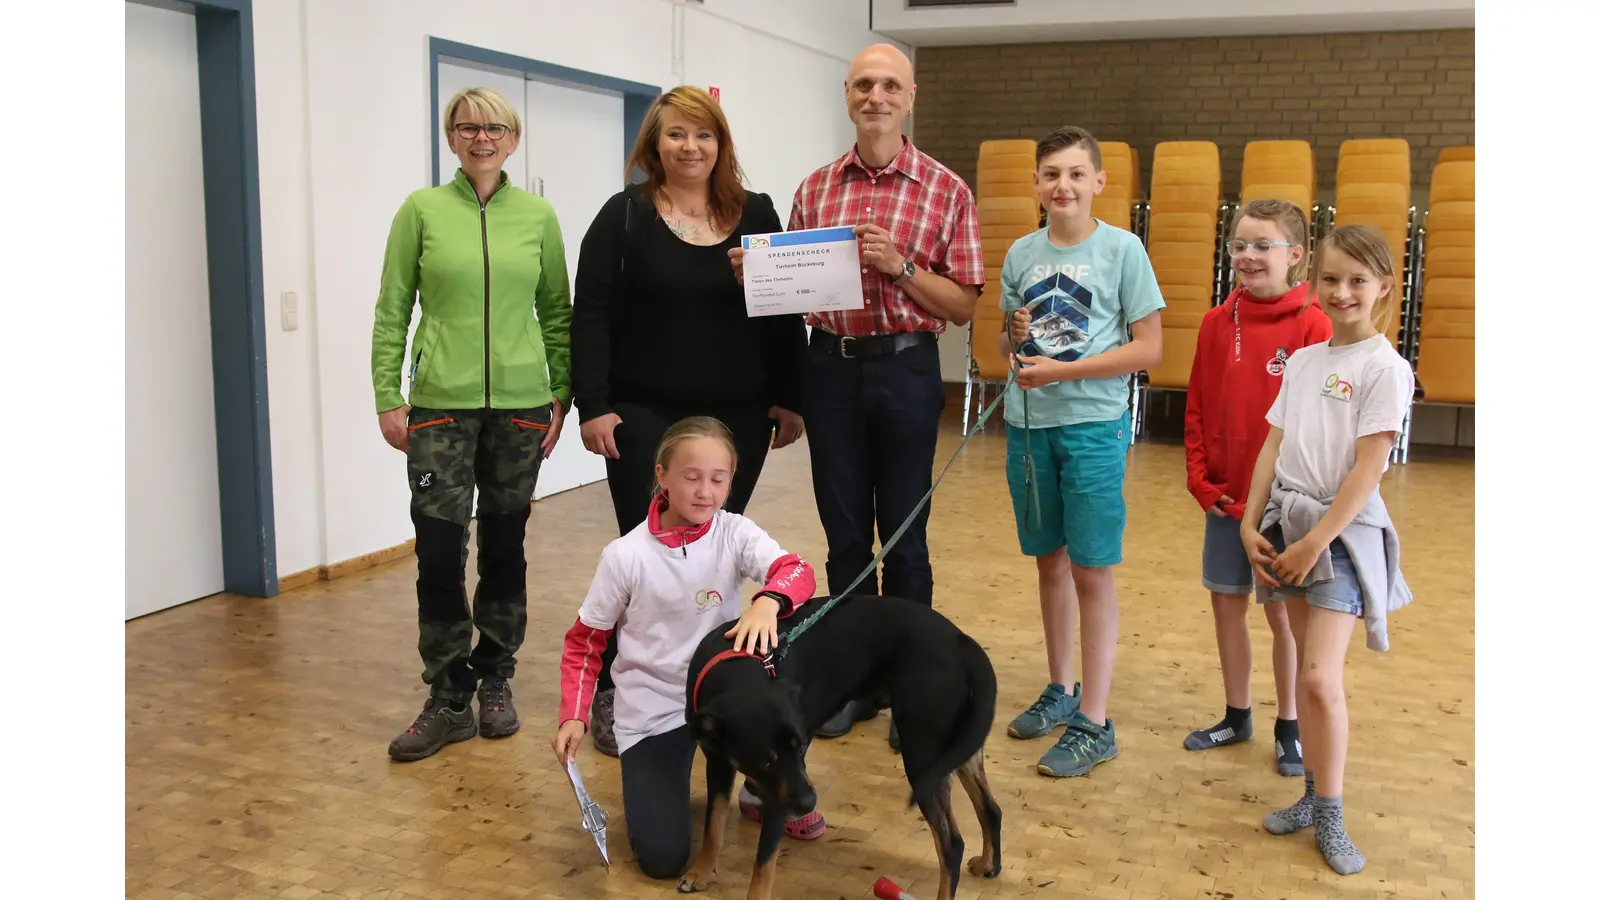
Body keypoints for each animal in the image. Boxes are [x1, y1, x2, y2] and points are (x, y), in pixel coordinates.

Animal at [675, 592, 998, 890]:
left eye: (801, 747)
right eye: (766, 761)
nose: (809, 802)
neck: (741, 664)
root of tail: (962, 642)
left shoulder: (781, 794)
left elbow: (763, 866)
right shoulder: (719, 762)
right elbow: (713, 824)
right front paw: (700, 872)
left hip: (924, 756)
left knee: (951, 845)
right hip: (959, 746)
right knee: (990, 809)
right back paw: (988, 864)